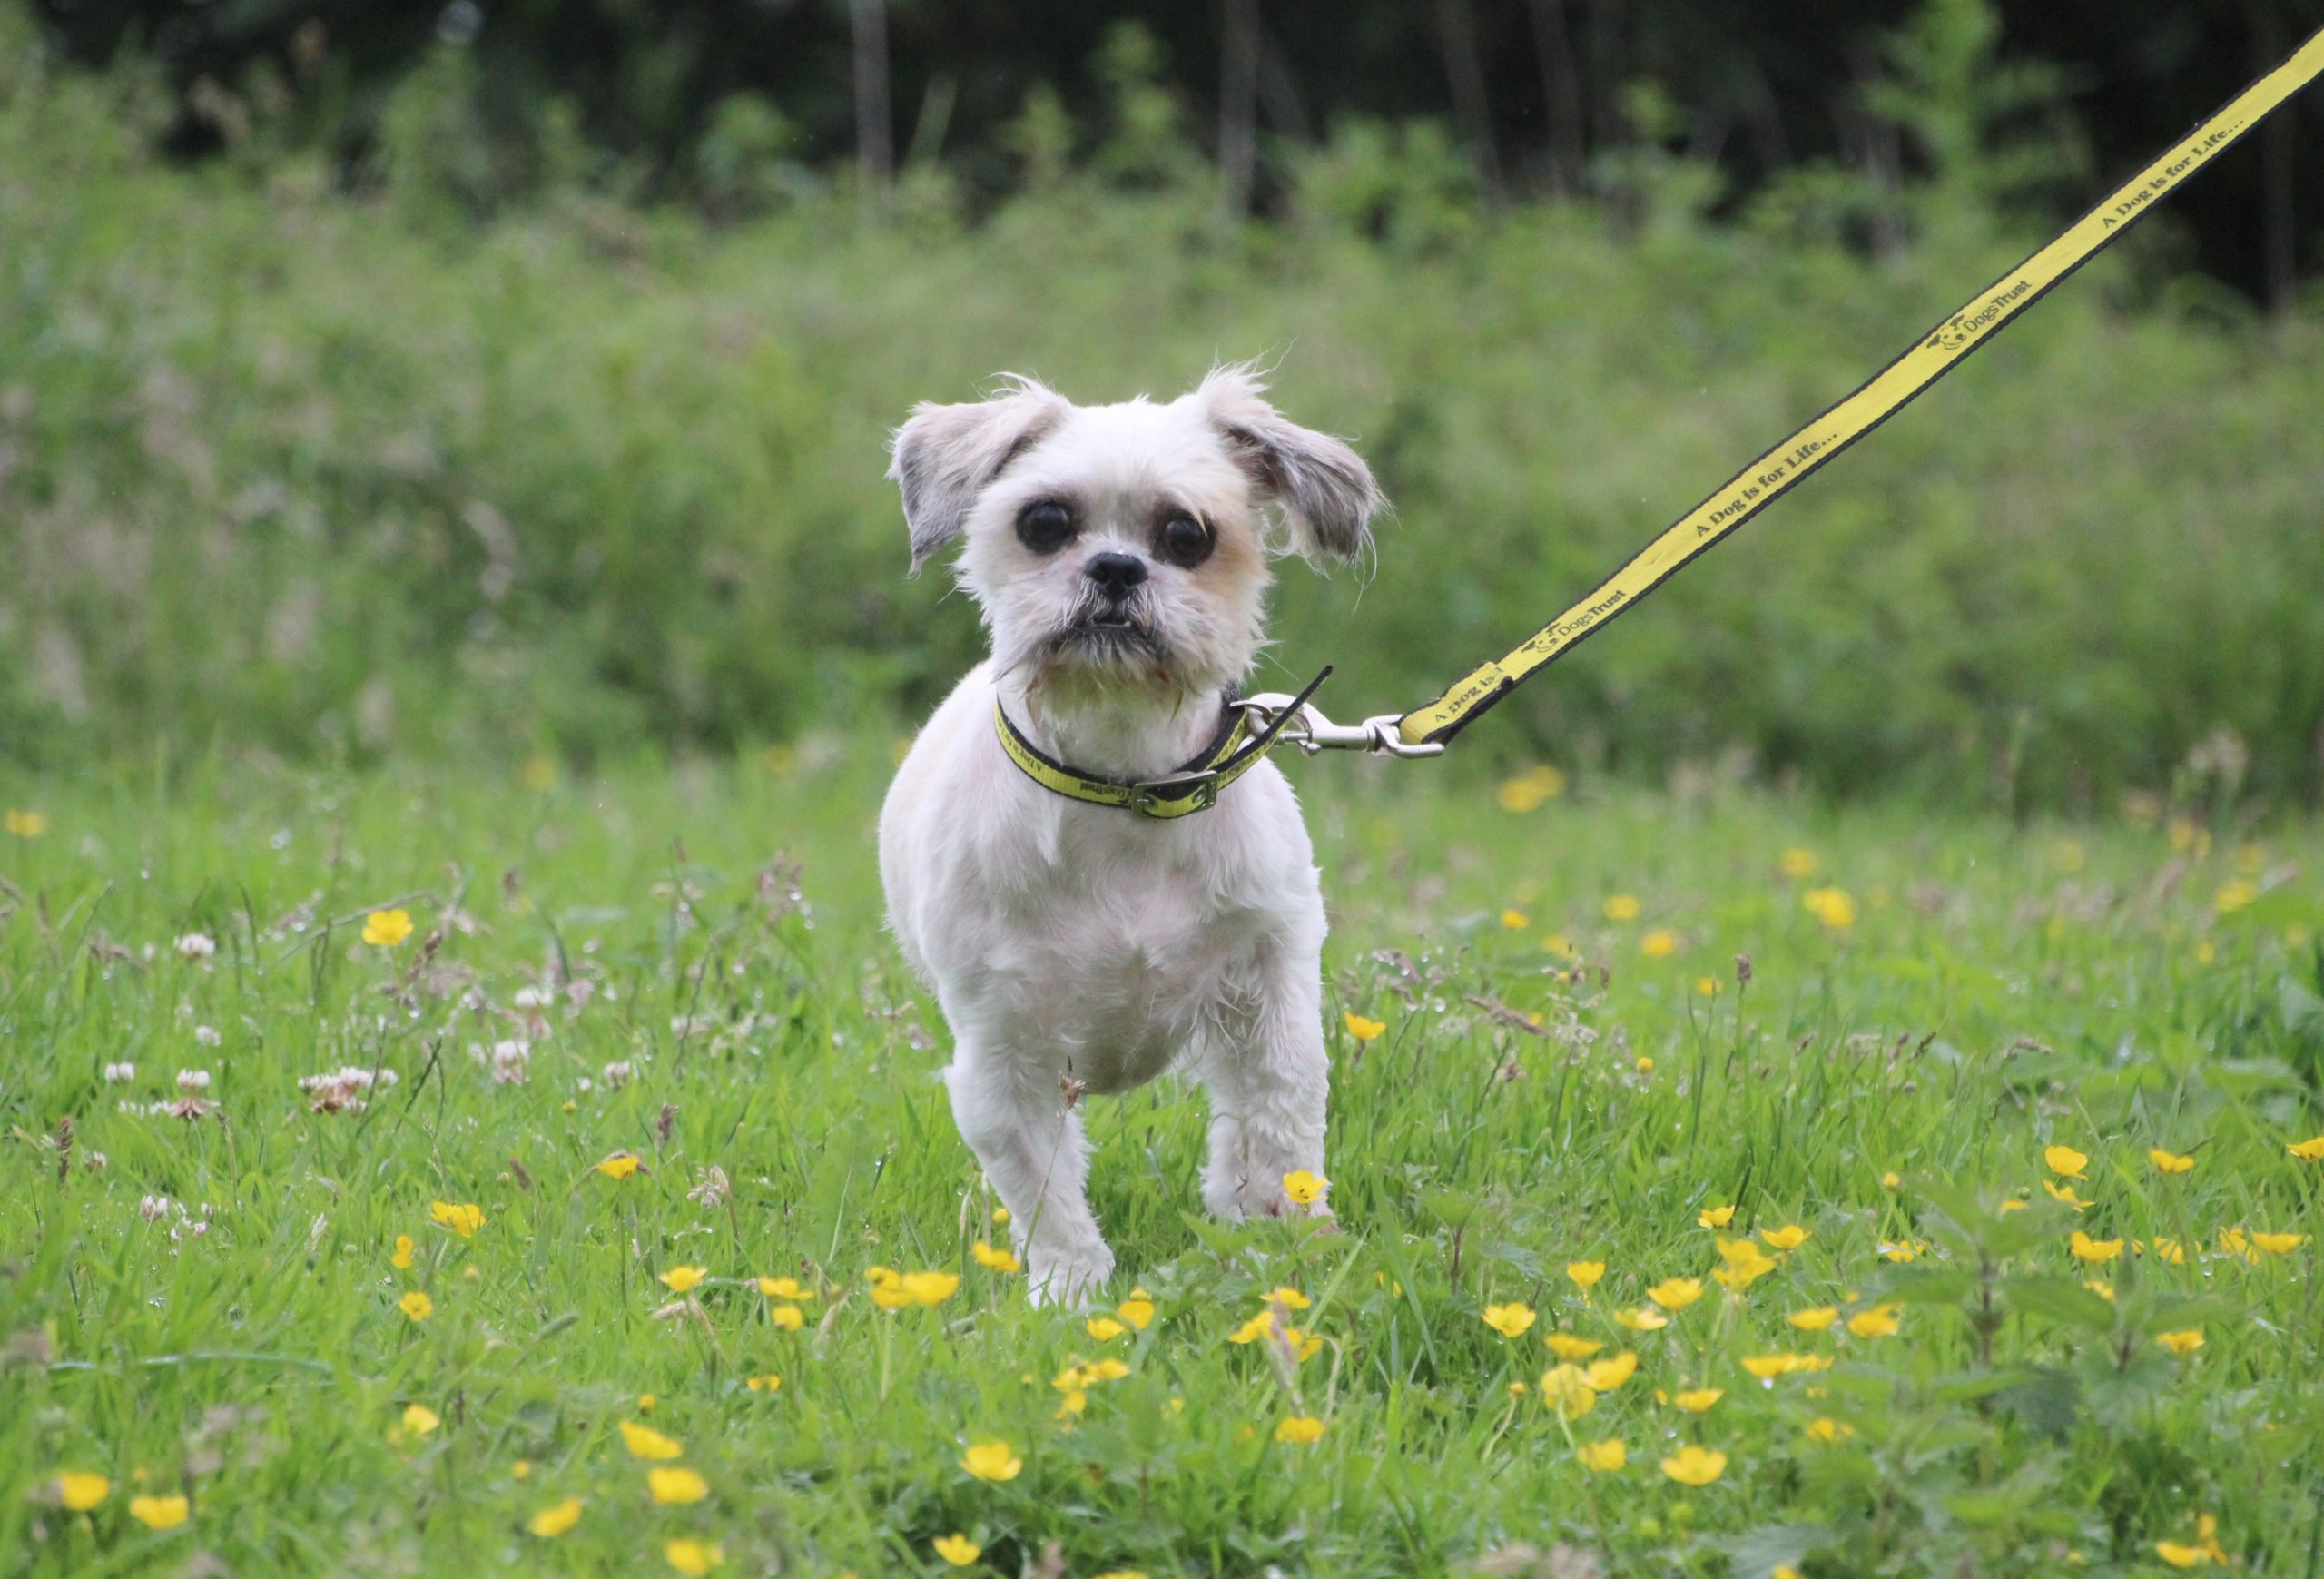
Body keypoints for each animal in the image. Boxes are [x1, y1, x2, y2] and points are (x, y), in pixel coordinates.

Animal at [873, 370, 1375, 1311]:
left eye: (1185, 535)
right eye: (1044, 522)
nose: (1114, 567)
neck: (1123, 785)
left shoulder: (1268, 981)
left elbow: (1282, 1119)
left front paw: (1289, 1242)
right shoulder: (1004, 1047)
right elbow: (1040, 1183)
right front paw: (1071, 1292)